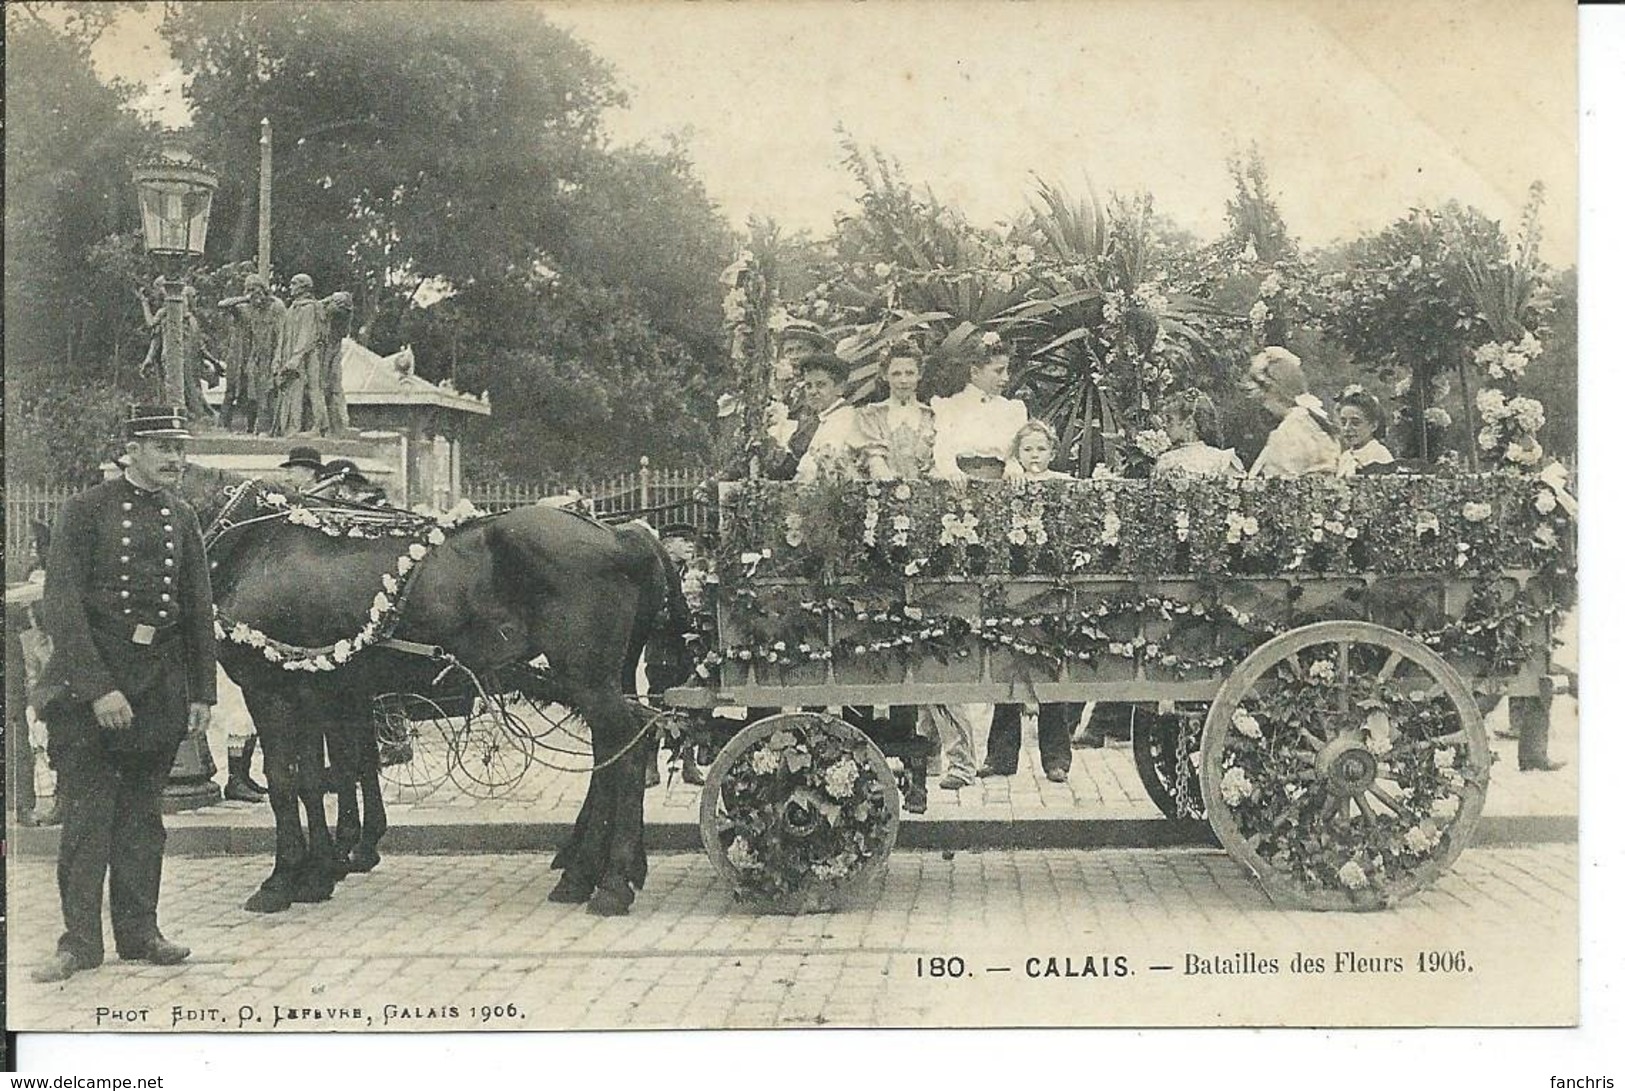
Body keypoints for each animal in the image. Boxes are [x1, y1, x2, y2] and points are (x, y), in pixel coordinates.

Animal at [186, 465, 692, 917]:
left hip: (585, 679)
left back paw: (612, 883)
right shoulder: (316, 690)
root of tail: (622, 537)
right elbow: (321, 776)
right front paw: (320, 870)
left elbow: (287, 780)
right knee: (621, 744)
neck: (258, 544)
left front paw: (283, 879)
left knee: (627, 749)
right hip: (596, 680)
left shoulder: (270, 689)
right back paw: (586, 872)